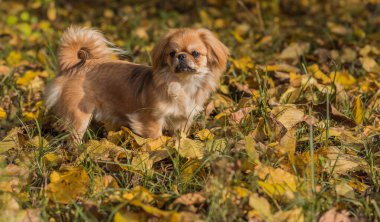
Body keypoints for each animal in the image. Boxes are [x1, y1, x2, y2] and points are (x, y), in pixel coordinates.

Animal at [44, 26, 229, 143]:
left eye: (195, 53)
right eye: (172, 53)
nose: (181, 56)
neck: (183, 84)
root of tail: (75, 65)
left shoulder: (183, 121)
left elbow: (180, 139)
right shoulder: (152, 120)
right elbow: (156, 140)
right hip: (80, 115)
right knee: (74, 138)